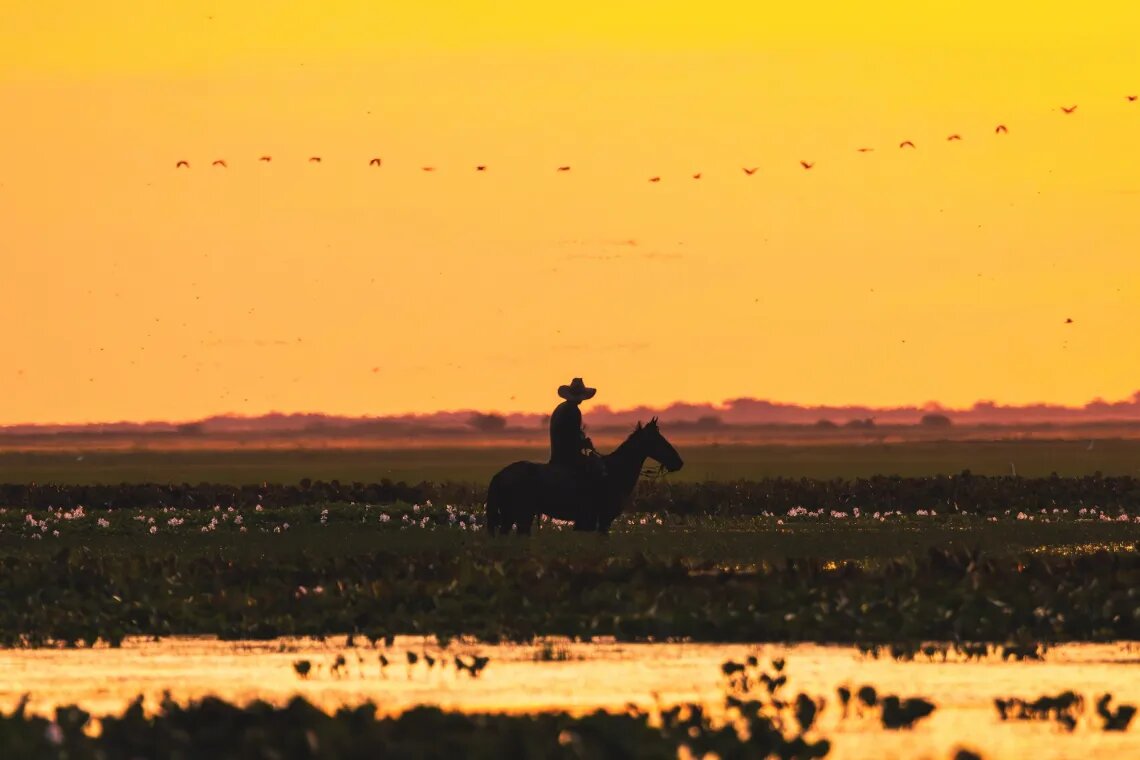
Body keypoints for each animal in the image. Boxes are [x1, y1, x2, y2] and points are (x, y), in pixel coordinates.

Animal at [483, 419, 679, 537]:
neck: (615, 471)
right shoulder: (604, 519)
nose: (679, 461)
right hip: (522, 515)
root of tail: (500, 475)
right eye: (659, 440)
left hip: (510, 516)